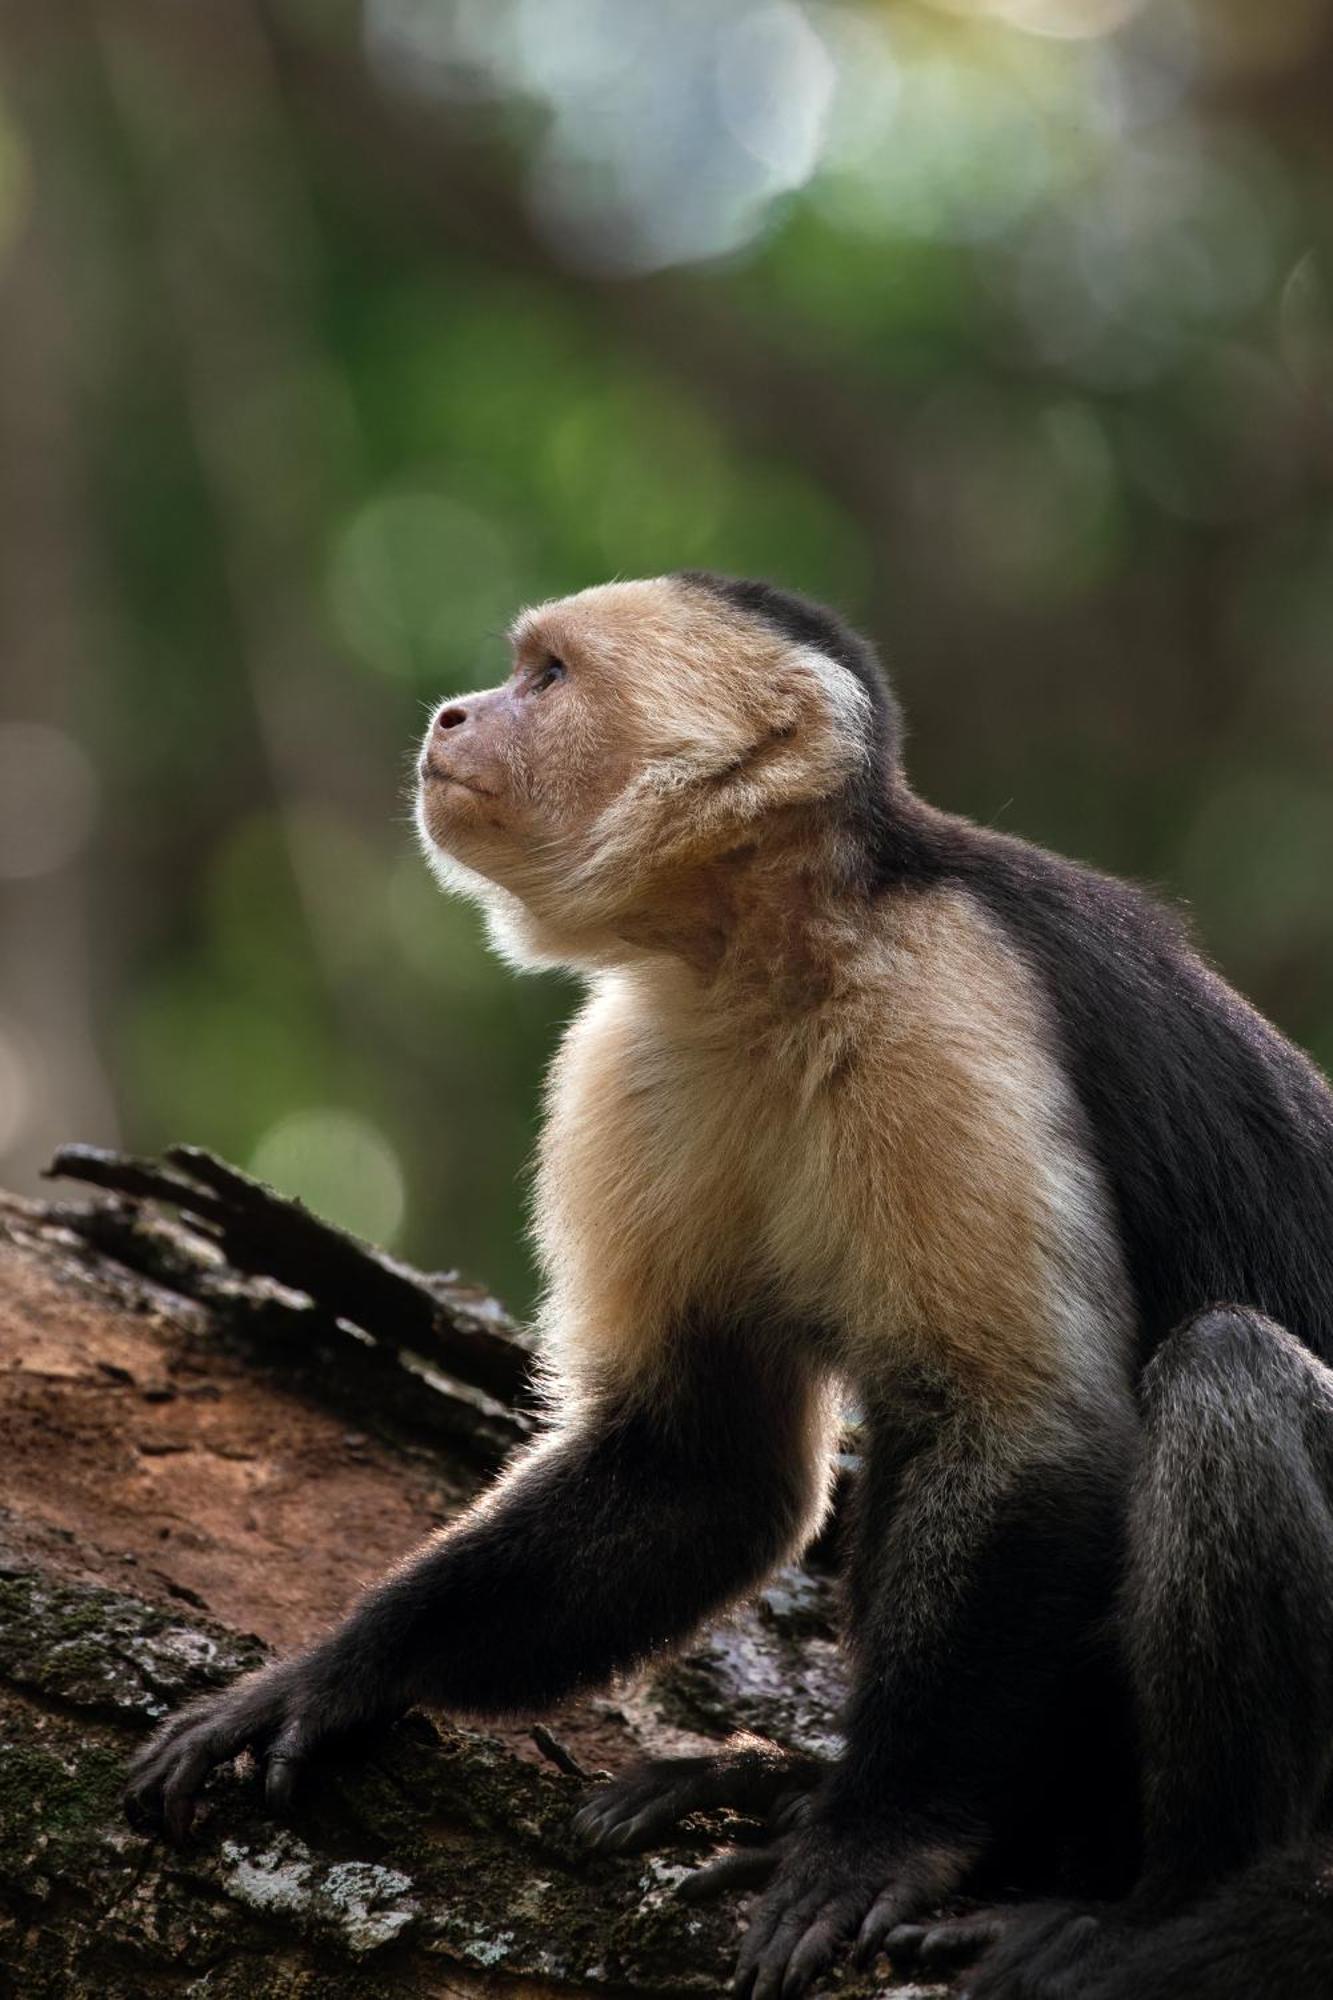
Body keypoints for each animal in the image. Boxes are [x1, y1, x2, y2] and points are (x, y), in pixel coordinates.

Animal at [130, 580, 1328, 2000]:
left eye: (546, 676)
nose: (452, 714)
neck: (776, 955)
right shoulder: (635, 1054)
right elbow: (700, 1462)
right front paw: (334, 1675)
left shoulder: (950, 1009)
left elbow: (1019, 1432)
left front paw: (875, 1837)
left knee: (1225, 1375)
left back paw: (1171, 1906)